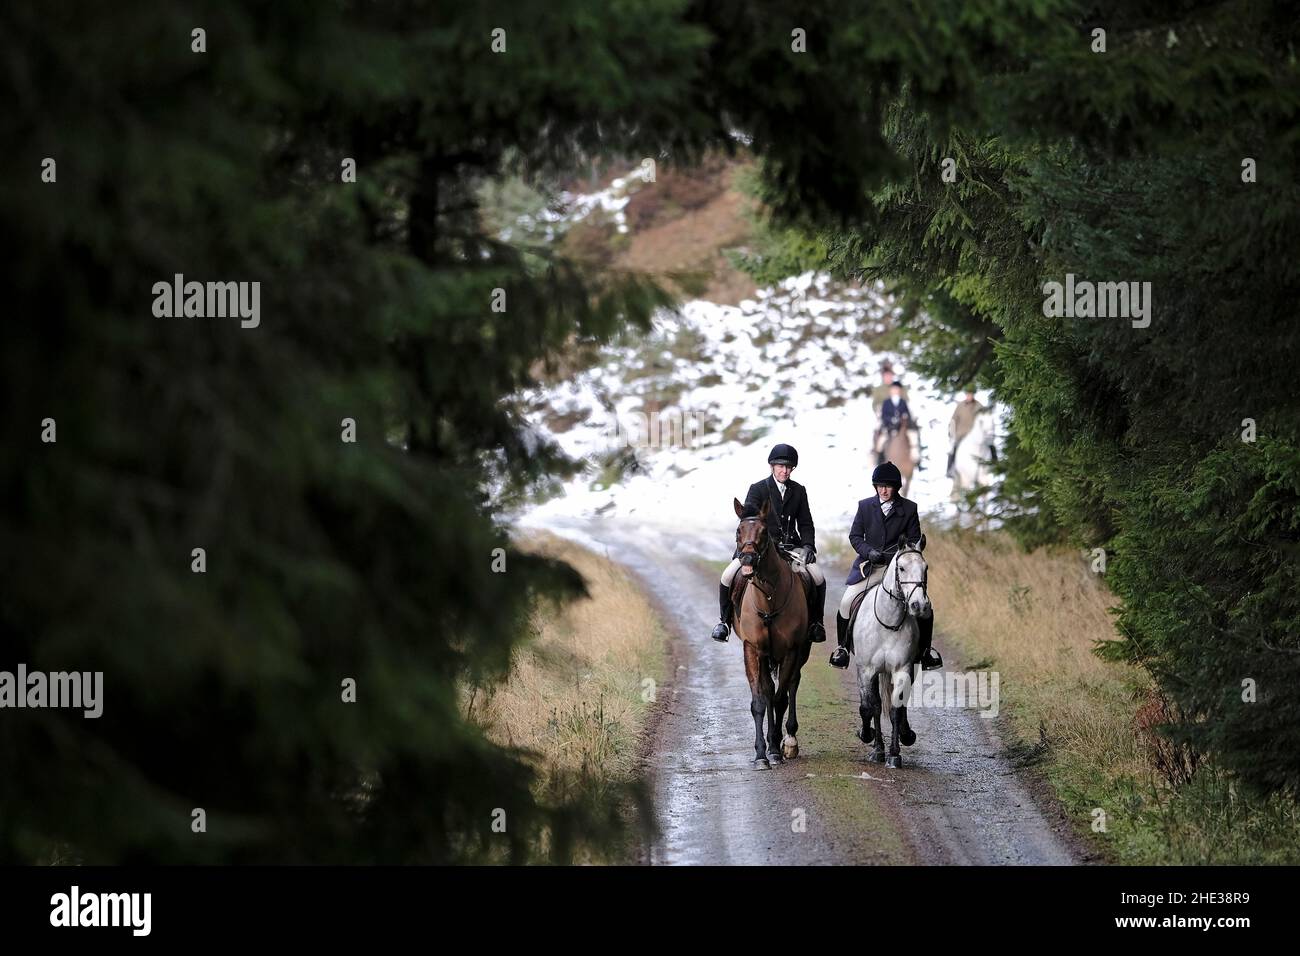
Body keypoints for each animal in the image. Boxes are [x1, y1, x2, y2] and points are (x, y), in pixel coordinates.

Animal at [733, 494, 811, 770]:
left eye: (763, 531)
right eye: (739, 530)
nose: (747, 559)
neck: (768, 598)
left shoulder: (790, 651)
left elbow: (780, 699)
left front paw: (776, 749)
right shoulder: (753, 648)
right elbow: (760, 700)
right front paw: (761, 754)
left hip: (802, 651)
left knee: (792, 685)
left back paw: (789, 741)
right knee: (768, 690)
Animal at [847, 538, 930, 770]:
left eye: (926, 568)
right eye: (901, 568)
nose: (919, 606)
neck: (889, 621)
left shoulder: (902, 669)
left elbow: (895, 710)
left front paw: (894, 754)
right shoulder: (867, 670)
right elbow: (871, 707)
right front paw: (873, 743)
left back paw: (906, 733)